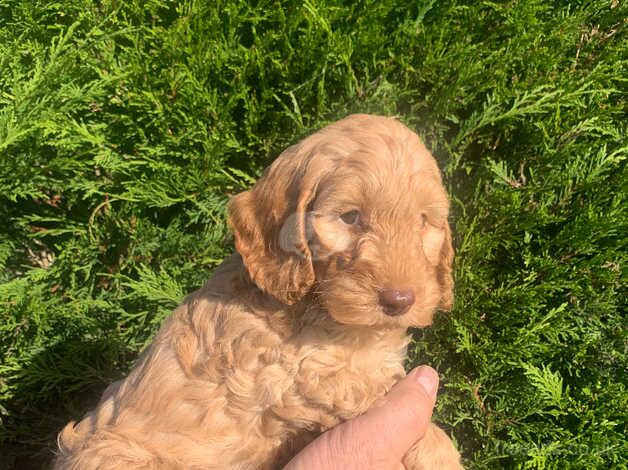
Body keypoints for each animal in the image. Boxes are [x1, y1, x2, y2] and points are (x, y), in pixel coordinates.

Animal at [56, 114, 464, 470]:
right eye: (350, 217)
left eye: (424, 221)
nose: (399, 301)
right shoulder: (295, 375)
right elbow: (380, 397)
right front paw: (440, 454)